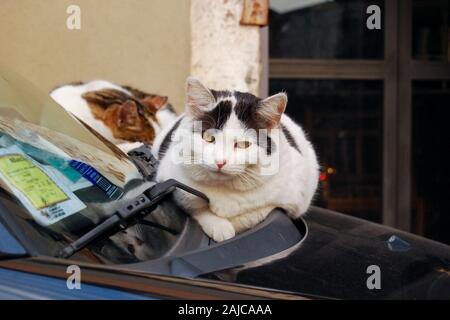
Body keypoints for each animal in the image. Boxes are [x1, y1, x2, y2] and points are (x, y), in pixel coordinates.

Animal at [152, 78, 320, 242]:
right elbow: (193, 206)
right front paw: (220, 226)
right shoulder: (171, 177)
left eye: (243, 145)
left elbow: (258, 212)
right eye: (208, 138)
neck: (224, 188)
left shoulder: (297, 196)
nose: (220, 162)